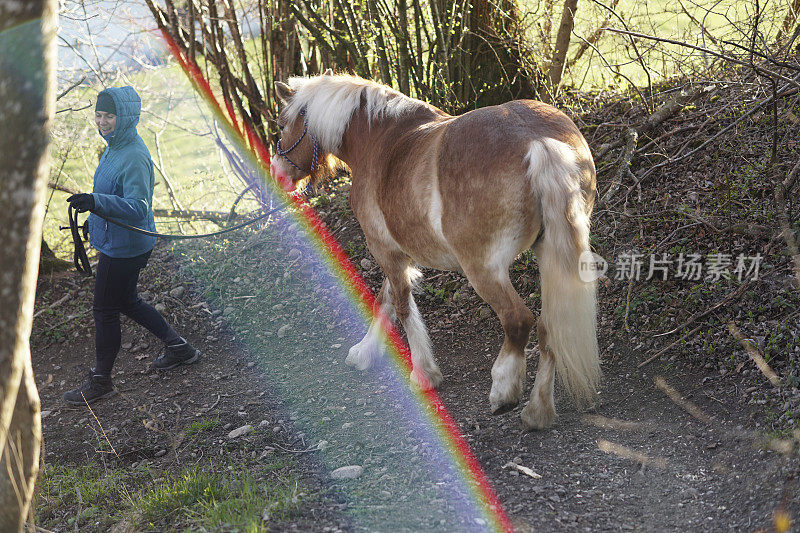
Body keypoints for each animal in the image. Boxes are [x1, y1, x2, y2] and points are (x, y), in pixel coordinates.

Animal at [270, 69, 600, 428]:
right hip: (549, 254)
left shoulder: (384, 249)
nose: (276, 172)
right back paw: (538, 410)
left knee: (518, 320)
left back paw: (503, 390)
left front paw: (423, 373)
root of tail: (537, 141)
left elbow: (400, 305)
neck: (378, 139)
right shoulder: (398, 253)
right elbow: (386, 299)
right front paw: (365, 351)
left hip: (483, 269)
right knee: (549, 326)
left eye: (282, 124)